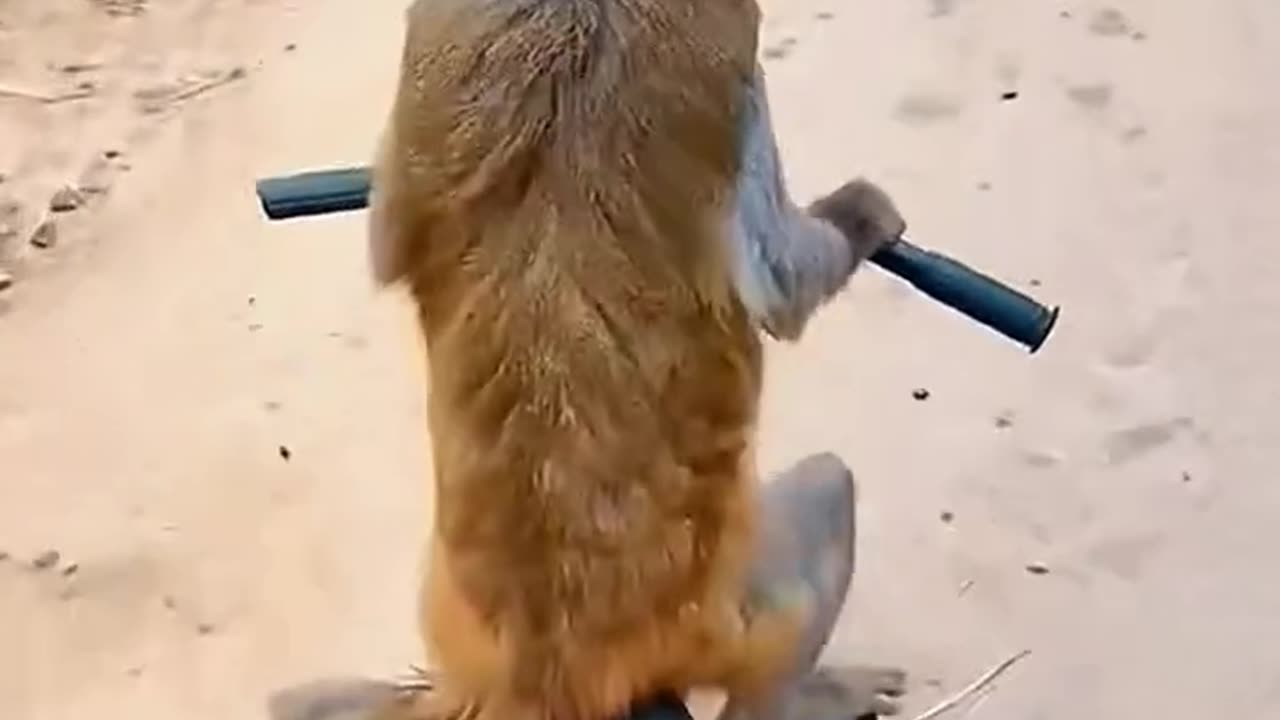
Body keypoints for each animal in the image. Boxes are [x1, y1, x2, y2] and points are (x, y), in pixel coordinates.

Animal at [305, 1, 914, 720]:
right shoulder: (731, 57)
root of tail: (554, 675)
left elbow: (387, 233)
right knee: (827, 491)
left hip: (452, 620)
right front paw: (863, 216)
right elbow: (781, 290)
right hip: (730, 621)